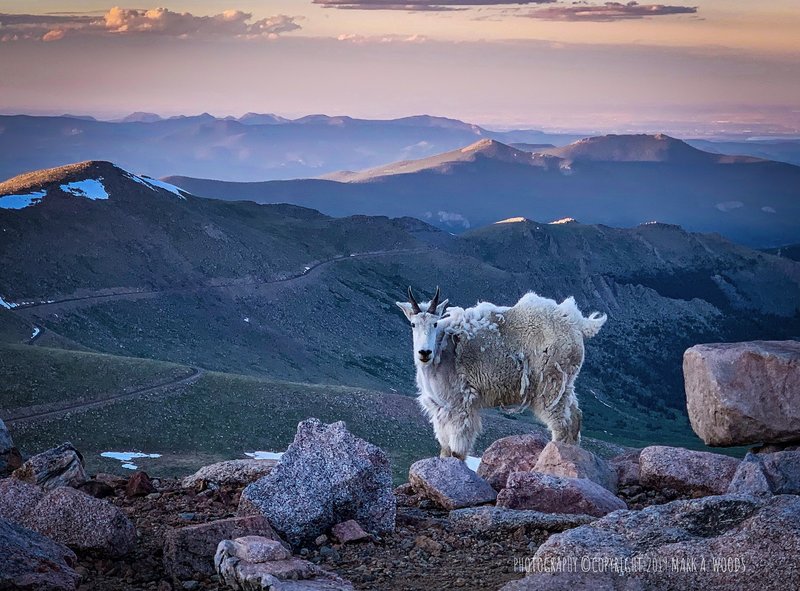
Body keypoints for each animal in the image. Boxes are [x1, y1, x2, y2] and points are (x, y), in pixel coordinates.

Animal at [396, 287, 606, 460]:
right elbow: (445, 449)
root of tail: (577, 323)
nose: (424, 352)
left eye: (434, 323)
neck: (441, 348)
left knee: (561, 425)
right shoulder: (441, 408)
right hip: (566, 383)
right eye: (413, 324)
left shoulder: (460, 403)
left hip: (551, 382)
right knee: (575, 417)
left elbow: (456, 451)